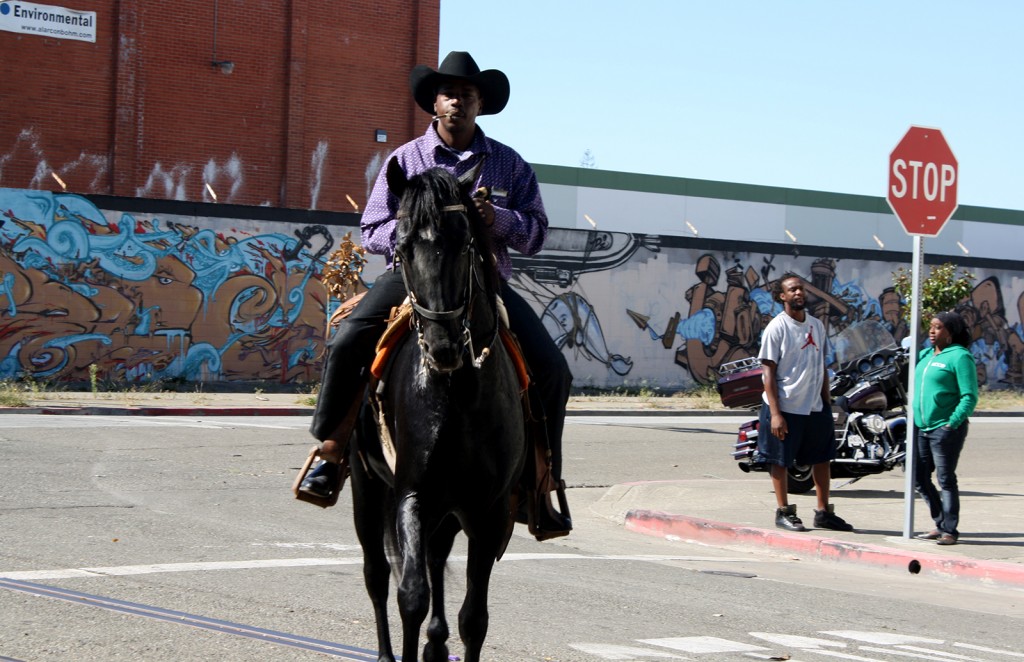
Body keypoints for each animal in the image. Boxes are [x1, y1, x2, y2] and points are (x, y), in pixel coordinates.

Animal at [350, 156, 528, 662]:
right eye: (402, 246)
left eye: (464, 242)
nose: (444, 346)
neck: (460, 392)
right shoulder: (414, 493)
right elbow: (411, 594)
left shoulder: (487, 511)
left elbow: (474, 618)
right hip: (365, 486)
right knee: (377, 574)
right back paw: (389, 652)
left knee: (434, 558)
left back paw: (435, 642)